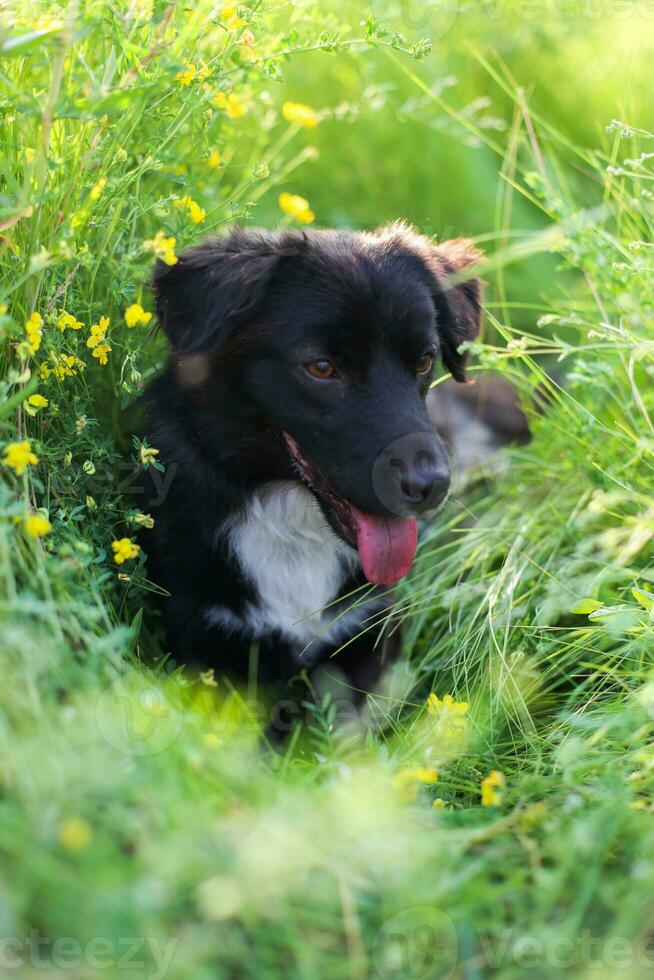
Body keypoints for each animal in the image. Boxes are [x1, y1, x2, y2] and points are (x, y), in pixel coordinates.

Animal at [142, 222, 482, 696]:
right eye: (321, 368)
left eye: (424, 361)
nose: (431, 485)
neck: (290, 520)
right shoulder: (205, 636)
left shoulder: (368, 629)